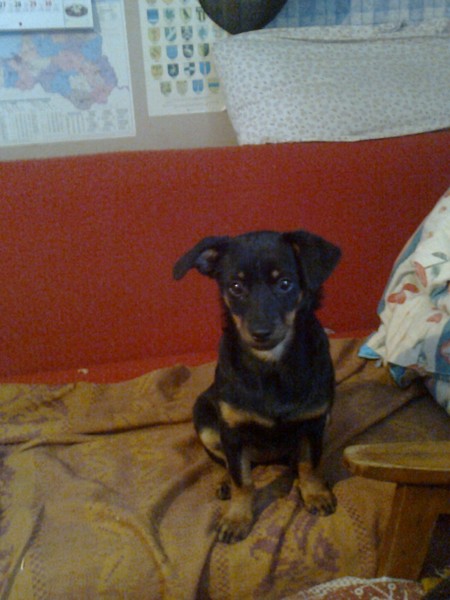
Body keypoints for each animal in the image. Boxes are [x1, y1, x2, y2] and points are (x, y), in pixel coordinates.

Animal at [173, 230, 341, 543]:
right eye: (236, 286)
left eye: (285, 283)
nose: (260, 332)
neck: (271, 365)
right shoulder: (232, 432)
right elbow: (243, 481)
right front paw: (237, 519)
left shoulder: (314, 423)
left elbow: (309, 463)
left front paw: (315, 493)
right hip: (205, 422)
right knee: (228, 463)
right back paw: (225, 482)